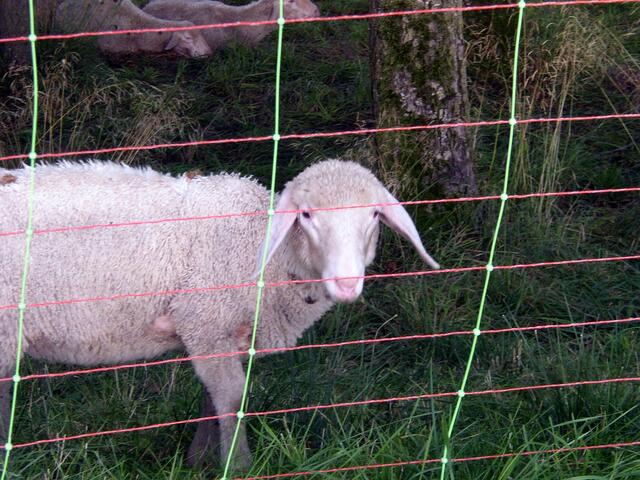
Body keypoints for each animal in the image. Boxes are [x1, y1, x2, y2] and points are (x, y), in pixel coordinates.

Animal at [0, 159, 439, 470]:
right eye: (307, 215)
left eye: (374, 215)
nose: (347, 282)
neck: (265, 249)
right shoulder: (207, 323)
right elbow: (231, 396)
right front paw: (237, 463)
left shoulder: (218, 332)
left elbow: (210, 398)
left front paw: (199, 459)